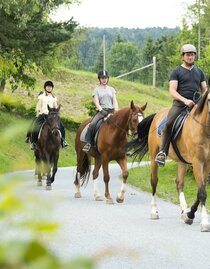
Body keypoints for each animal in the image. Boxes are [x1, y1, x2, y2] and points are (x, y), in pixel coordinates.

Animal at [125, 91, 210, 231]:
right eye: (209, 100)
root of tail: (157, 114)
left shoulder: (207, 163)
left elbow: (200, 191)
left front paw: (190, 214)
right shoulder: (197, 162)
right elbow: (202, 192)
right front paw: (204, 222)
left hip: (182, 161)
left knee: (179, 183)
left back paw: (184, 211)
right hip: (154, 157)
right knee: (154, 181)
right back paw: (154, 211)